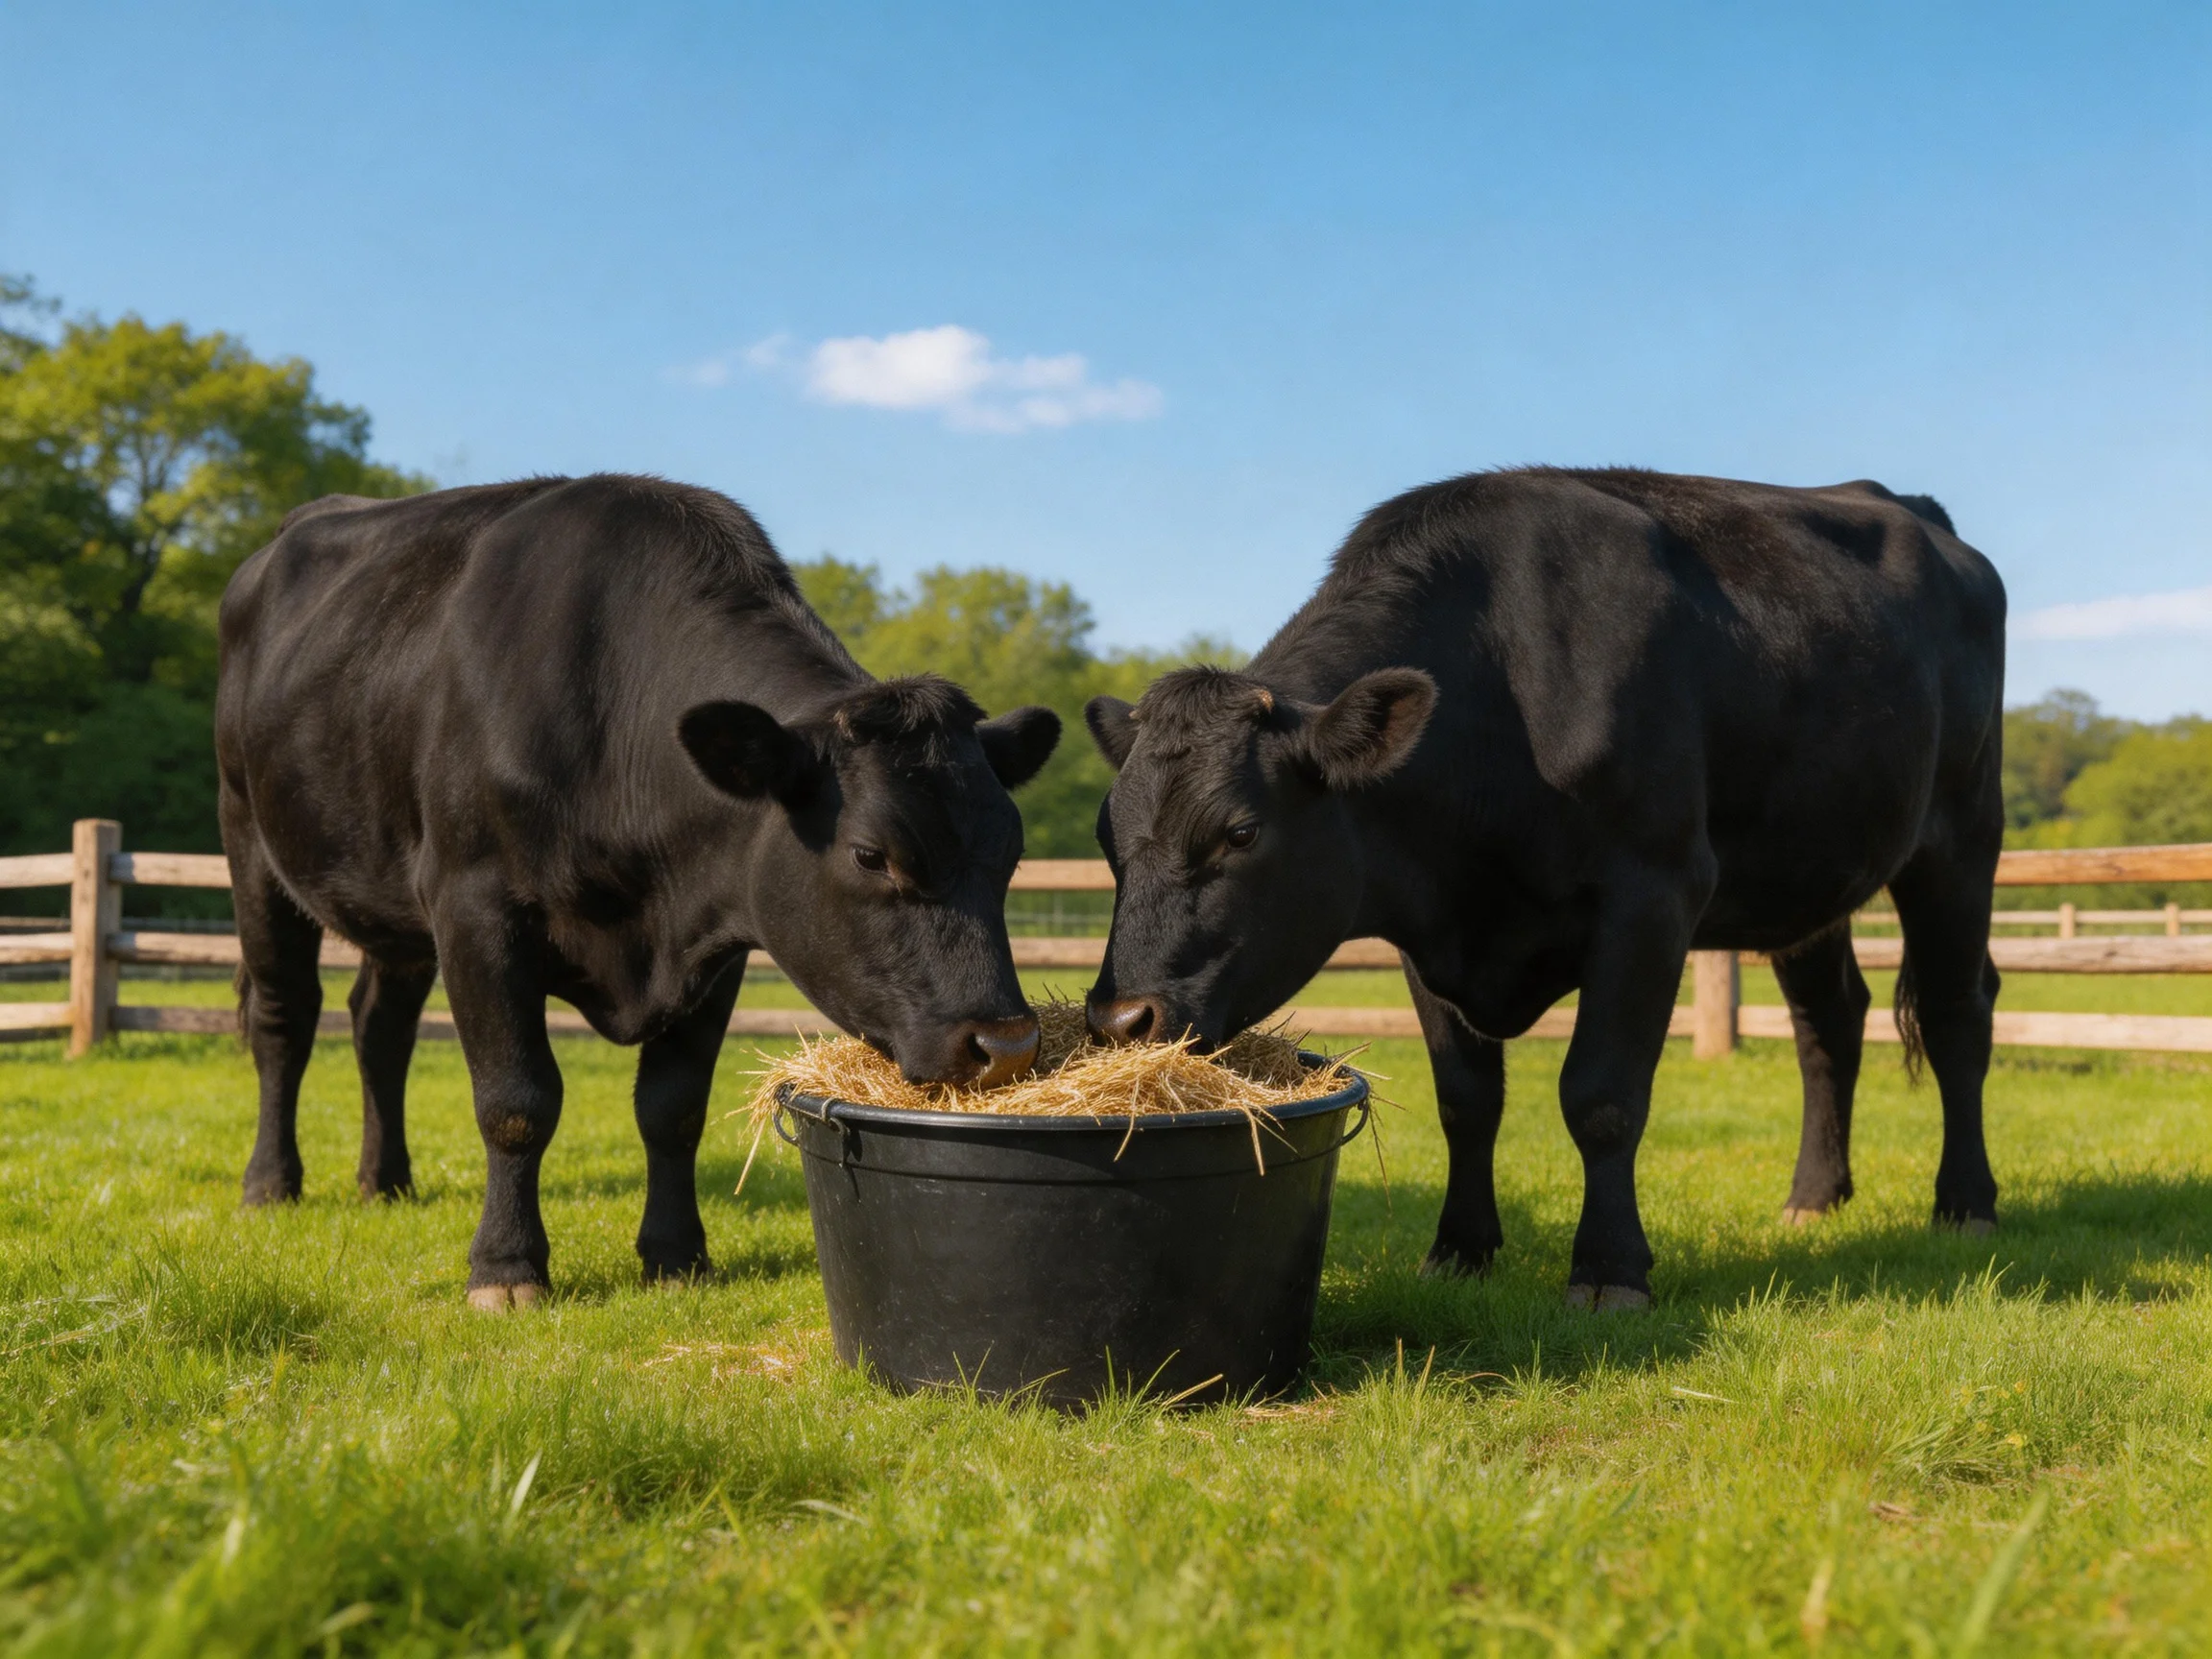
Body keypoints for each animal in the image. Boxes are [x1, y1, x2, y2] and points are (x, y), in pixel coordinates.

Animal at [216, 475, 1060, 1308]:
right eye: (870, 854)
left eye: (1011, 853)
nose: (1007, 1045)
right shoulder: (474, 908)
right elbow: (515, 1100)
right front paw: (506, 1267)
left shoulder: (716, 937)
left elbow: (673, 1106)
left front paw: (677, 1254)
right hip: (250, 840)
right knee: (286, 1018)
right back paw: (271, 1184)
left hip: (391, 904)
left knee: (378, 1028)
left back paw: (385, 1180)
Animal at [1082, 468, 2005, 1308]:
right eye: (1105, 833)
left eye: (1241, 832)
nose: (1124, 1020)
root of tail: (1908, 505)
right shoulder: (1428, 926)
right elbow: (1466, 1100)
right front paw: (1459, 1251)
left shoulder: (1654, 891)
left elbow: (1601, 1095)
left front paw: (1609, 1269)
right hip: (1805, 875)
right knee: (1830, 1021)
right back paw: (1814, 1197)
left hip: (1961, 836)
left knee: (1958, 1011)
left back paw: (1965, 1204)